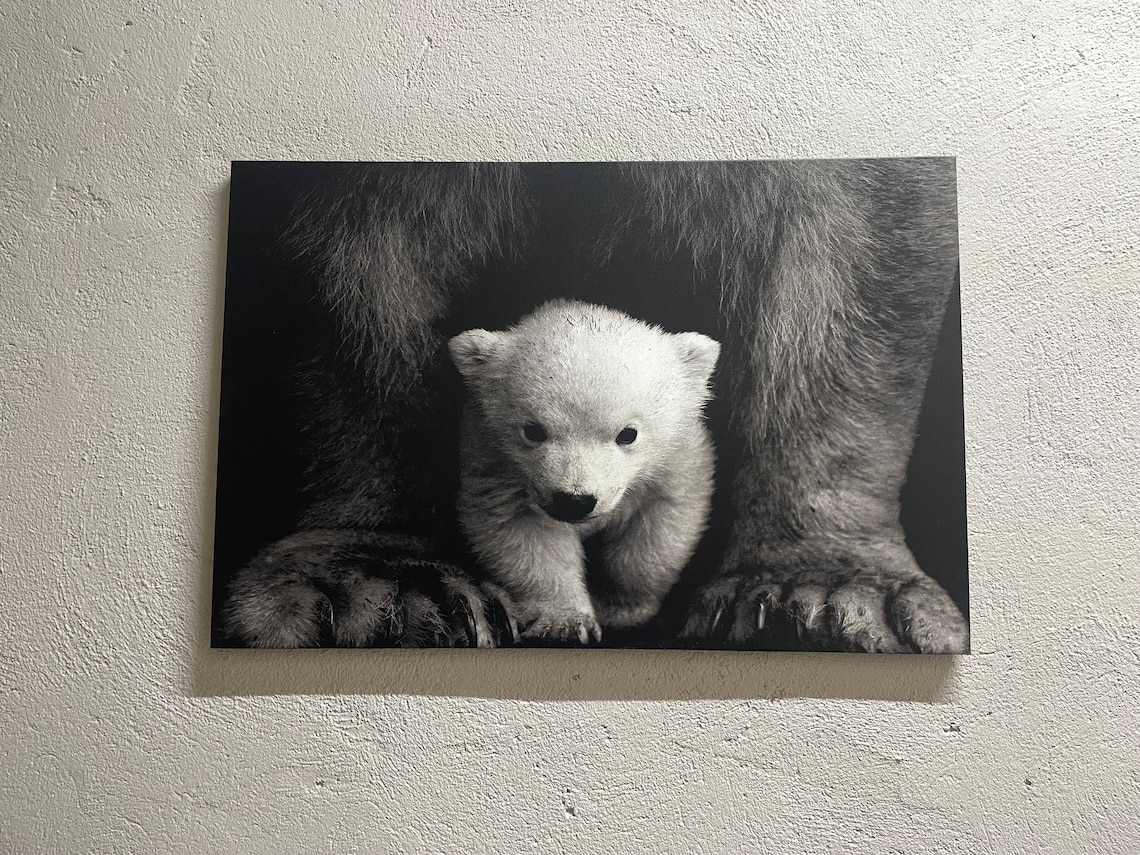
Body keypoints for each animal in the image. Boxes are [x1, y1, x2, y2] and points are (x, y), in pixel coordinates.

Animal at [448, 300, 720, 645]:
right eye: (533, 431)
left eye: (627, 434)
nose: (574, 501)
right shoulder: (496, 466)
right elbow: (524, 533)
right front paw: (565, 622)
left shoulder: (676, 462)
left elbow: (657, 529)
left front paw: (620, 608)